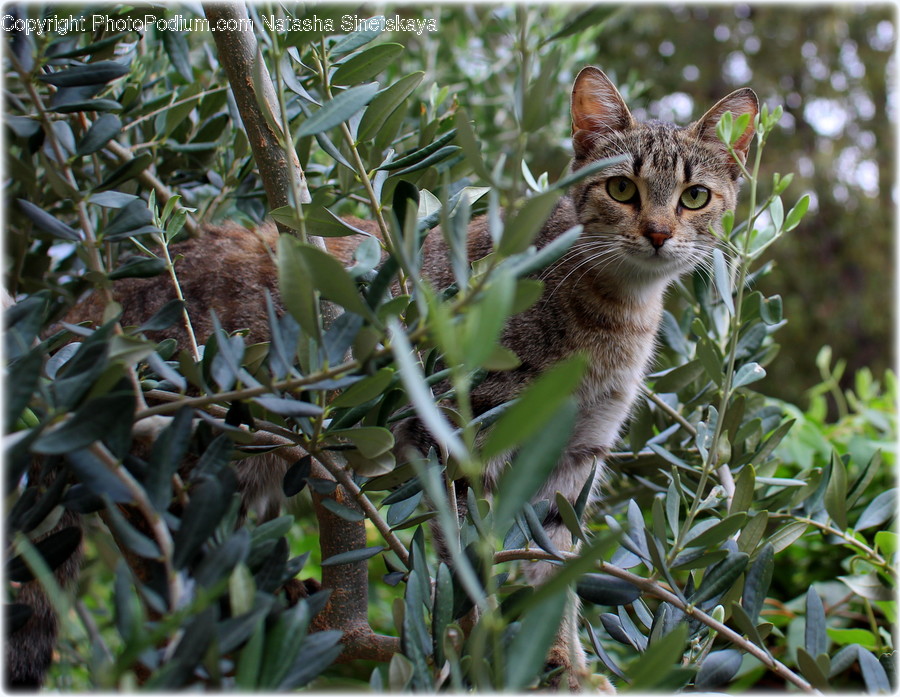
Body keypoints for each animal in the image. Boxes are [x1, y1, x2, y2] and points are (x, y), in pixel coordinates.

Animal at [7, 68, 756, 688]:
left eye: (694, 196)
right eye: (622, 188)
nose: (658, 232)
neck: (615, 314)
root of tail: (86, 303)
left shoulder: (572, 461)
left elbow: (554, 572)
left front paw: (560, 661)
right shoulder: (460, 432)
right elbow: (472, 556)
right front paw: (482, 639)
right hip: (202, 426)